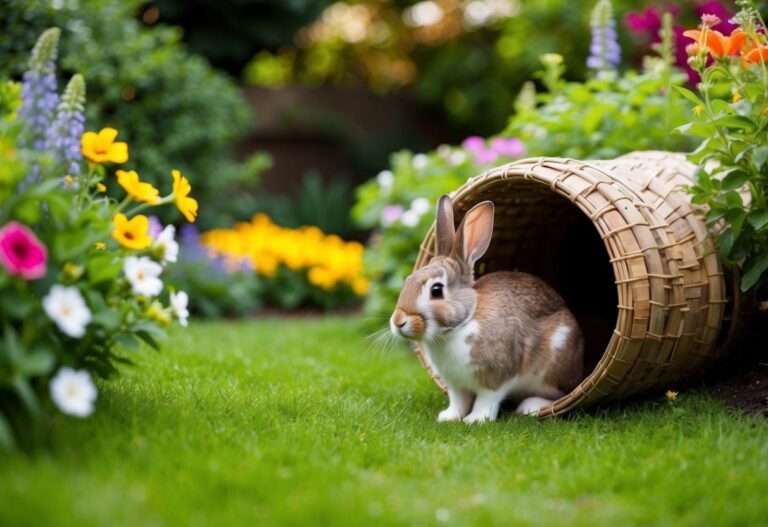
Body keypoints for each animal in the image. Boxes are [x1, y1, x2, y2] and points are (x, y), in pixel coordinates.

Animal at [390, 196, 584, 422]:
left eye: (436, 290)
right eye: (407, 280)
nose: (398, 321)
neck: (462, 323)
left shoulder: (496, 376)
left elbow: (487, 399)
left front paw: (475, 420)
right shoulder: (455, 383)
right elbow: (458, 400)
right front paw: (448, 417)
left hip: (554, 365)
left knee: (559, 393)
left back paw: (530, 407)